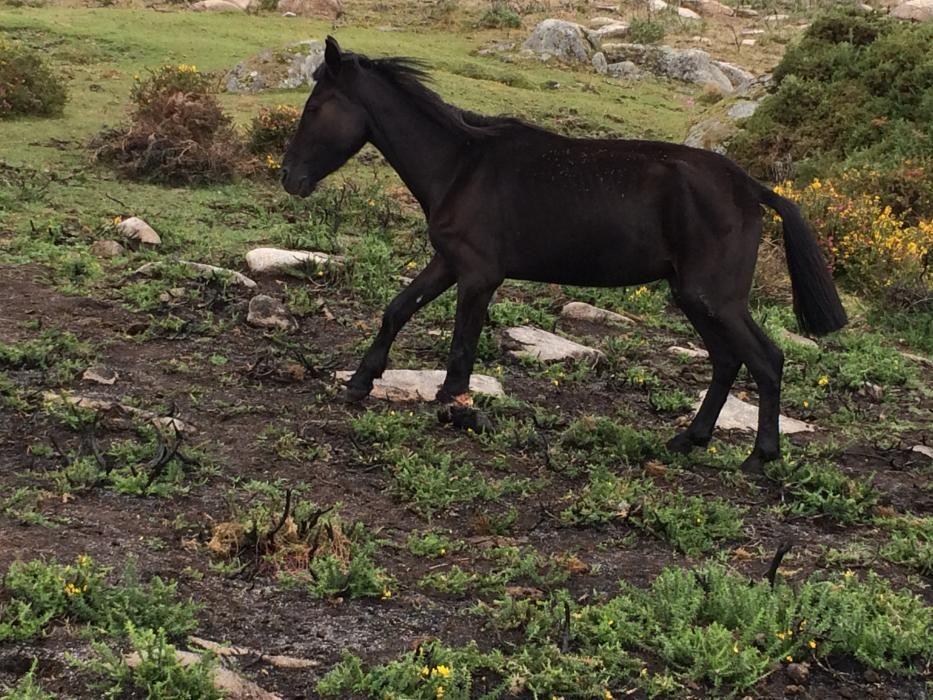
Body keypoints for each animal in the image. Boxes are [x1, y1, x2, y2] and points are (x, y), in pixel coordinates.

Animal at [280, 34, 848, 470]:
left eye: (314, 107)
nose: (290, 178)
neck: (462, 166)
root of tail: (751, 188)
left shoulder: (479, 275)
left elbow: (461, 349)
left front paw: (456, 410)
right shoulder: (449, 263)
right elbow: (397, 310)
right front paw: (360, 382)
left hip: (715, 298)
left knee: (765, 358)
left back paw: (760, 457)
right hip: (694, 296)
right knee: (728, 360)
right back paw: (690, 439)